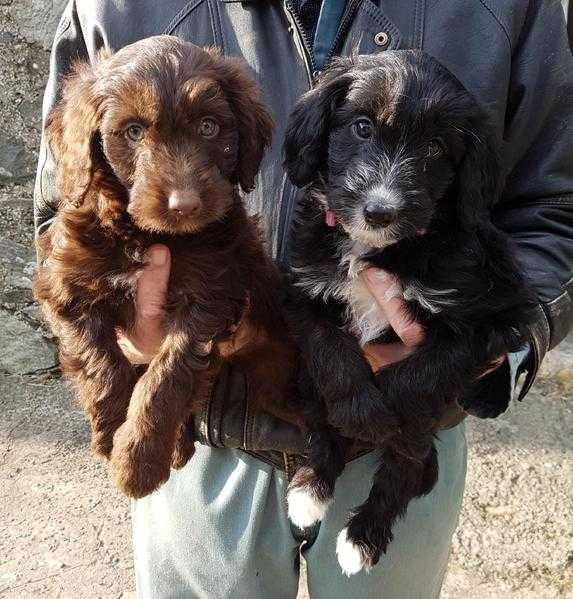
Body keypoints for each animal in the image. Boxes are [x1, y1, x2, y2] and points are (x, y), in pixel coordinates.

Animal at [33, 35, 298, 500]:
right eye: (134, 132)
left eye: (209, 126)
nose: (184, 204)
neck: (146, 236)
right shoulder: (66, 284)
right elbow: (101, 362)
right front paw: (112, 435)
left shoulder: (210, 293)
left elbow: (167, 376)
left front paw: (139, 461)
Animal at [284, 51, 536, 576]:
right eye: (361, 127)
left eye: (437, 148)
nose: (380, 210)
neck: (381, 249)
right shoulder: (306, 293)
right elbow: (333, 356)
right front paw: (360, 410)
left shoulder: (481, 327)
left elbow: (415, 379)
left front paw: (379, 416)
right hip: (303, 379)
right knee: (321, 418)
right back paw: (310, 488)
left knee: (408, 460)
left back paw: (362, 537)